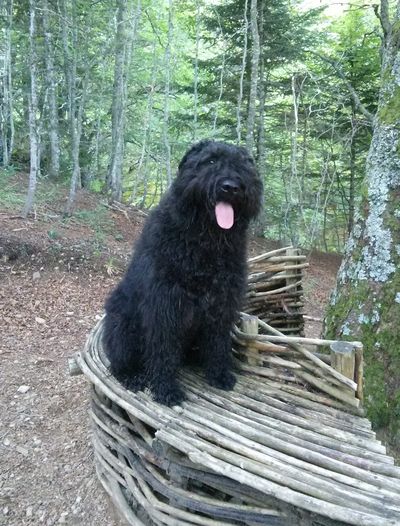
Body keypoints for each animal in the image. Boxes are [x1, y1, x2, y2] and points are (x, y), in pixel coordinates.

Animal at [103, 140, 262, 408]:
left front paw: (219, 373)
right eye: (210, 161)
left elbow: (219, 343)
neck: (205, 242)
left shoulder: (222, 303)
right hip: (122, 325)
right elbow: (163, 351)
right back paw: (132, 377)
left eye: (243, 164)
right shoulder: (165, 305)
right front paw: (166, 389)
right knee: (118, 361)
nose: (231, 187)